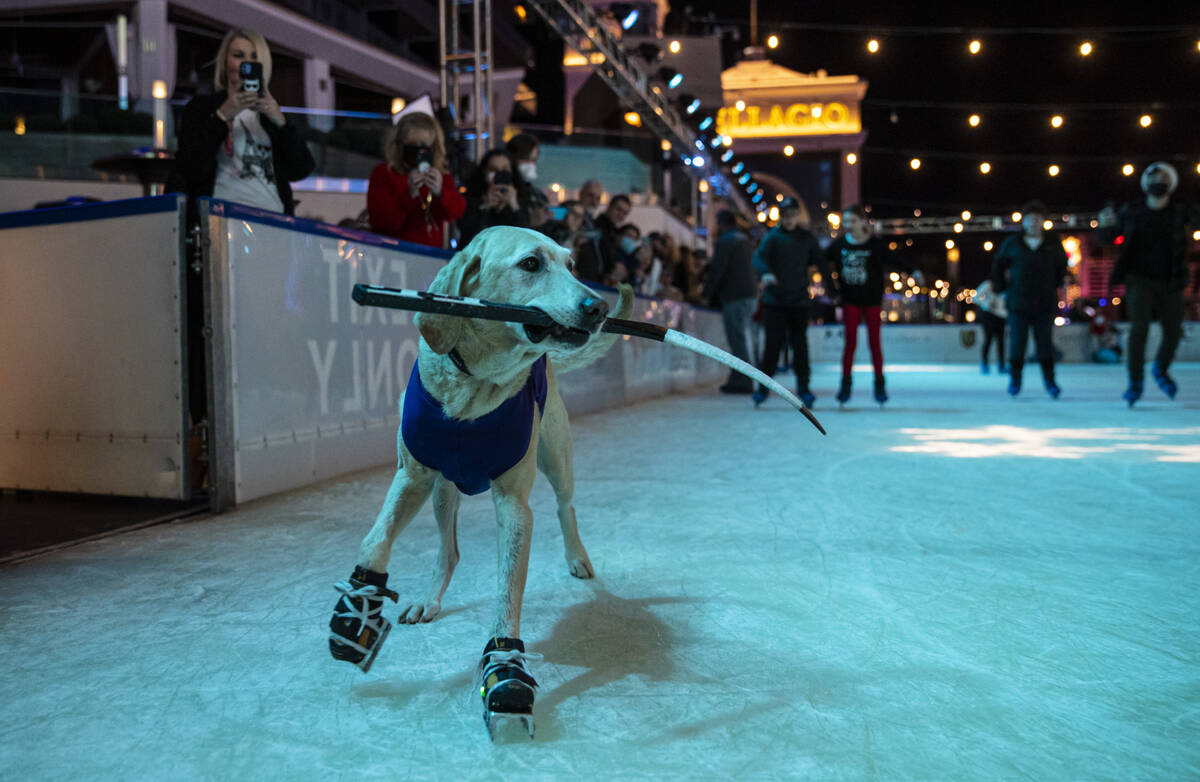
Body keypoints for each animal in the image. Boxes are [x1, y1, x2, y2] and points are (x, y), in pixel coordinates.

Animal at [324, 224, 633, 734]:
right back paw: (429, 599)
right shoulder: (411, 478)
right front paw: (359, 607)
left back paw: (577, 557)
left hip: (556, 457)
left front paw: (504, 663)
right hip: (442, 492)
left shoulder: (514, 508)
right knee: (448, 551)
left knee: (565, 506)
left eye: (572, 265)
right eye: (531, 264)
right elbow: (374, 541)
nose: (598, 308)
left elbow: (507, 592)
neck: (473, 389)